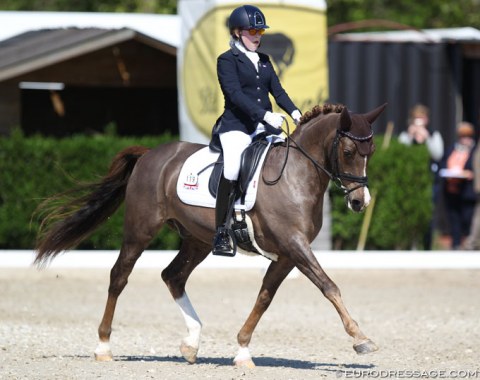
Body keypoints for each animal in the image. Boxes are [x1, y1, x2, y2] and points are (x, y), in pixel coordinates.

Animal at [34, 101, 386, 368]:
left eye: (371, 151)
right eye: (349, 151)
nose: (360, 202)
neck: (295, 175)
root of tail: (150, 154)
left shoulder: (287, 255)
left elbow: (265, 297)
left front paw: (243, 350)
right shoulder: (294, 245)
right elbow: (329, 287)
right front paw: (362, 339)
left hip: (197, 240)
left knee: (173, 275)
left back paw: (191, 343)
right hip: (140, 230)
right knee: (119, 276)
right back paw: (104, 346)